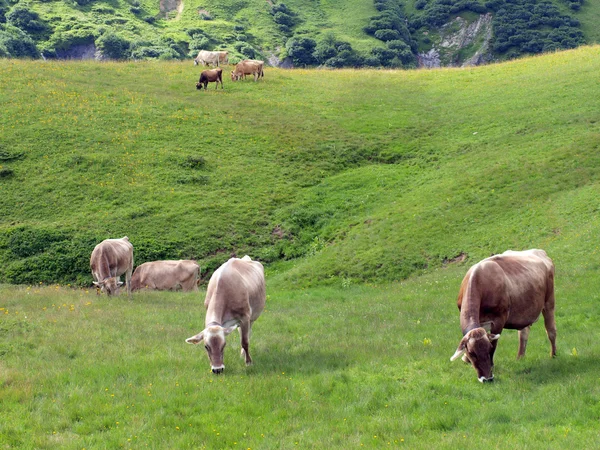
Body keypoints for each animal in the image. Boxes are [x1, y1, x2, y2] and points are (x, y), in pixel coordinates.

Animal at [450, 250, 556, 384]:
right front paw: (465, 359)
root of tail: (539, 251)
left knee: (551, 330)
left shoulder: (498, 320)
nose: (487, 379)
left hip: (549, 301)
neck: (479, 280)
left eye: (489, 349)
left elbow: (495, 342)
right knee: (523, 333)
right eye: (472, 353)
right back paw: (520, 358)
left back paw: (553, 355)